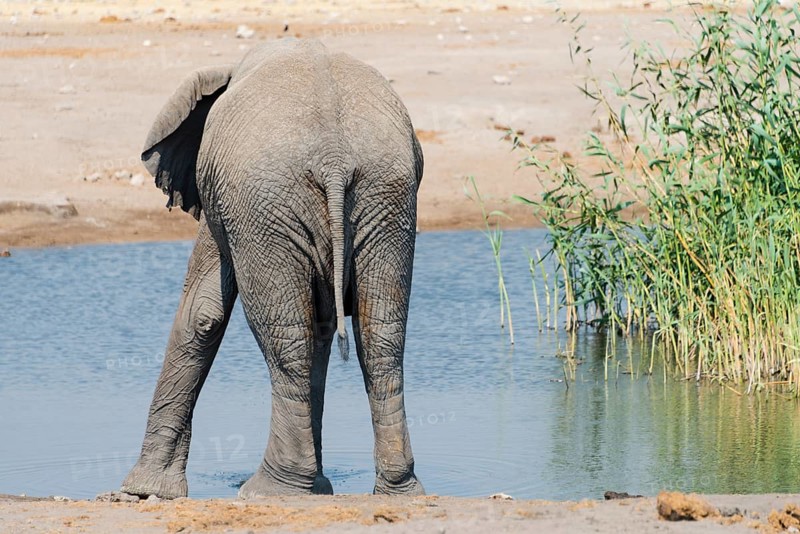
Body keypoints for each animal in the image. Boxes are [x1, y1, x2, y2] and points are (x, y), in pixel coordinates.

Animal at [120, 38, 424, 499]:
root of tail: (335, 157)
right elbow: (322, 326)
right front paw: (319, 488)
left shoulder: (227, 204)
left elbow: (202, 313)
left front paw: (142, 492)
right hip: (386, 199)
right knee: (382, 338)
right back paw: (397, 490)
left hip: (267, 205)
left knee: (287, 339)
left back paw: (269, 488)